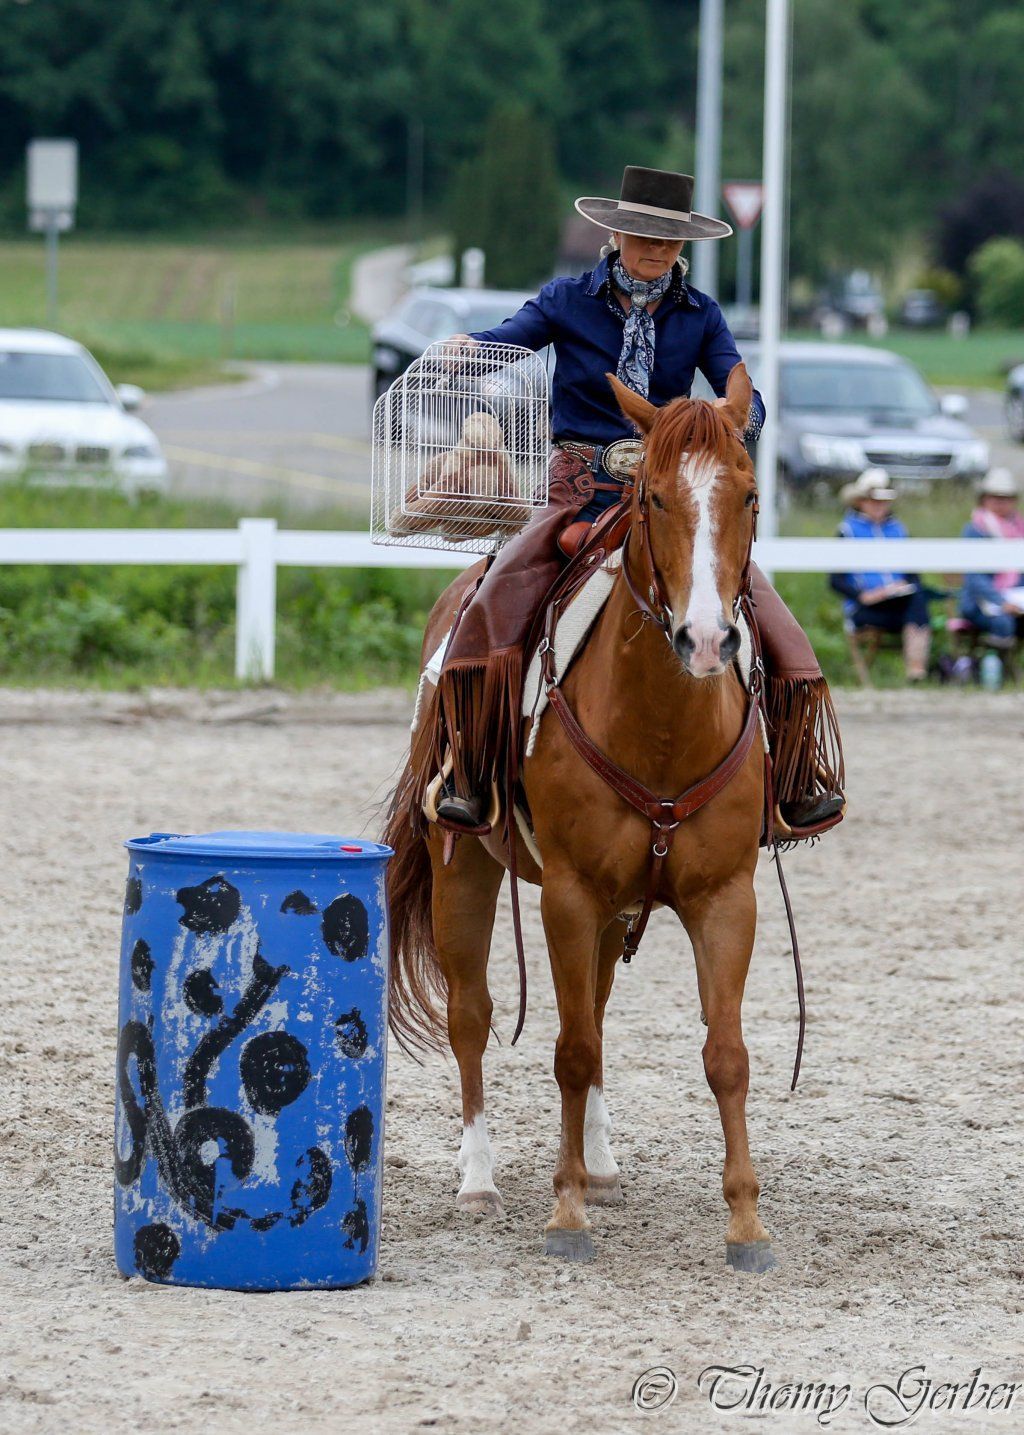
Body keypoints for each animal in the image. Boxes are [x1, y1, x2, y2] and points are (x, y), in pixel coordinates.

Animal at [383, 362, 777, 1269]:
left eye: (748, 494)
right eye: (653, 498)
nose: (707, 638)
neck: (661, 724)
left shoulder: (725, 897)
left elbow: (725, 1053)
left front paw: (746, 1221)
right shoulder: (567, 895)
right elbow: (569, 1050)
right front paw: (564, 1213)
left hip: (615, 907)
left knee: (592, 1009)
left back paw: (599, 1165)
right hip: (466, 867)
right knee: (472, 1018)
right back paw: (480, 1179)